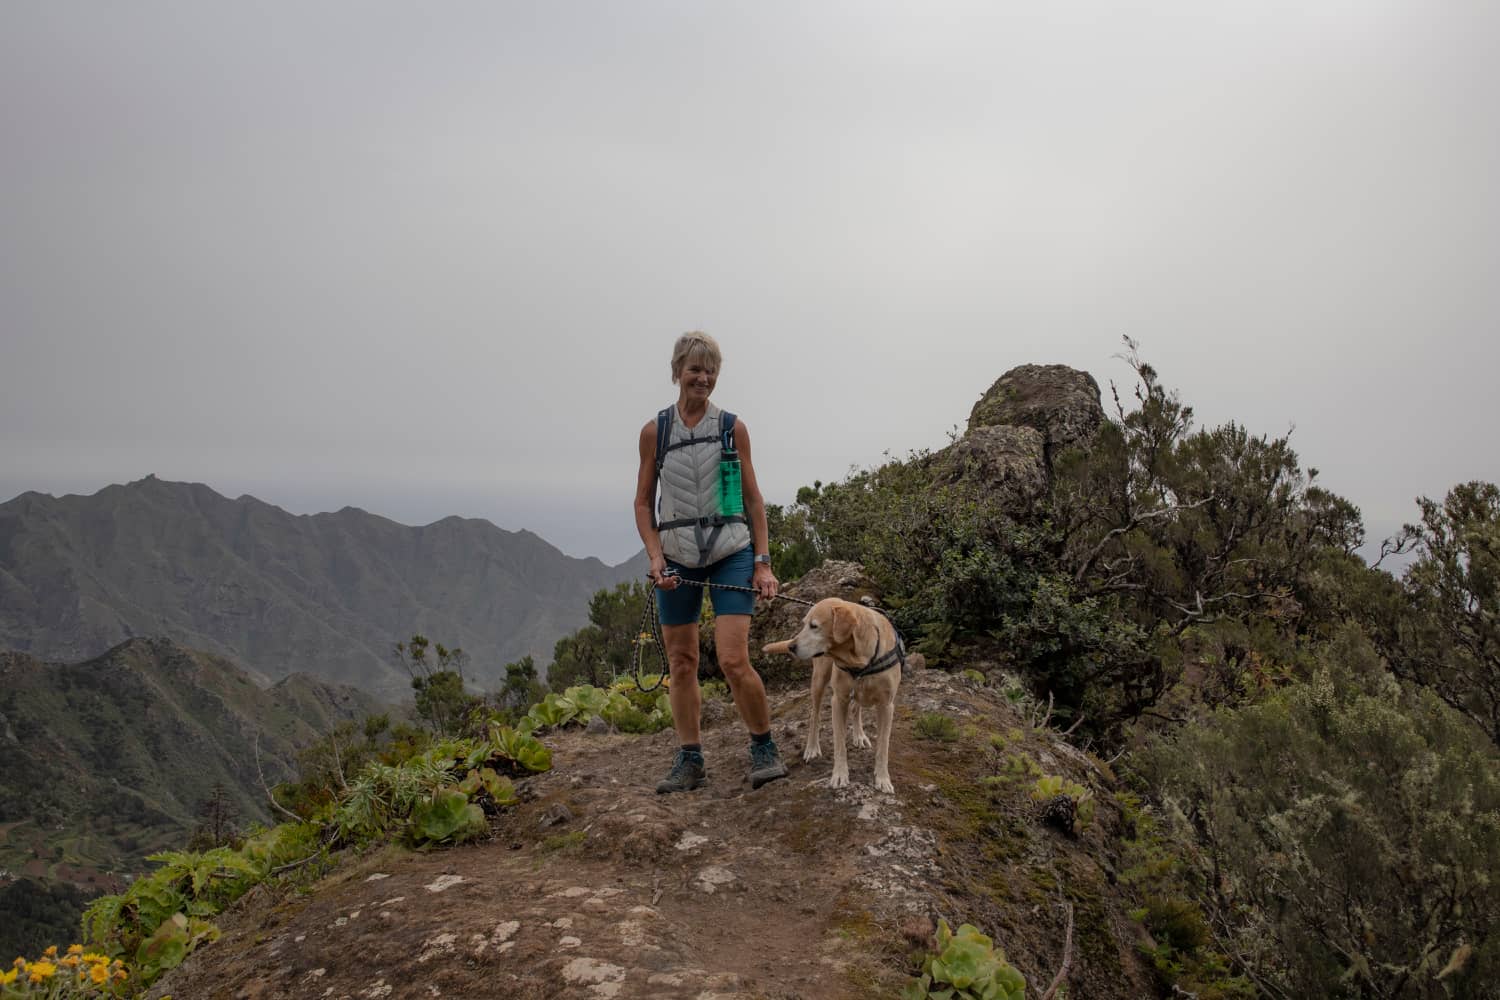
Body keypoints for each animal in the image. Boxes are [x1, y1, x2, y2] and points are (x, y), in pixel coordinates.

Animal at [762, 599, 900, 791]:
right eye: (804, 624)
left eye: (814, 626)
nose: (791, 647)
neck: (860, 661)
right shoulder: (838, 701)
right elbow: (839, 744)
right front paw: (840, 775)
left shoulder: (887, 706)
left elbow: (883, 747)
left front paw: (883, 779)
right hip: (819, 681)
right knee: (815, 716)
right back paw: (812, 748)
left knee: (856, 708)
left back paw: (859, 735)